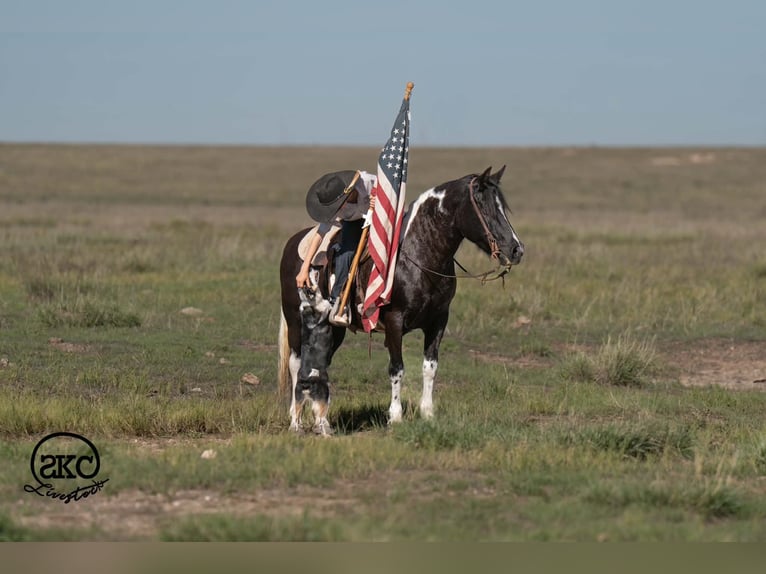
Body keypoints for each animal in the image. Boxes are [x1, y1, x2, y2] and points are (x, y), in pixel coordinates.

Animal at [278, 166, 524, 434]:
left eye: (502, 206)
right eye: (483, 205)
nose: (516, 249)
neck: (417, 256)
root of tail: (294, 242)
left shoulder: (439, 320)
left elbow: (430, 367)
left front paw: (428, 413)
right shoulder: (394, 321)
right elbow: (397, 368)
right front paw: (395, 417)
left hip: (333, 328)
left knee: (320, 364)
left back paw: (321, 421)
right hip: (296, 321)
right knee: (296, 364)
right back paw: (295, 421)